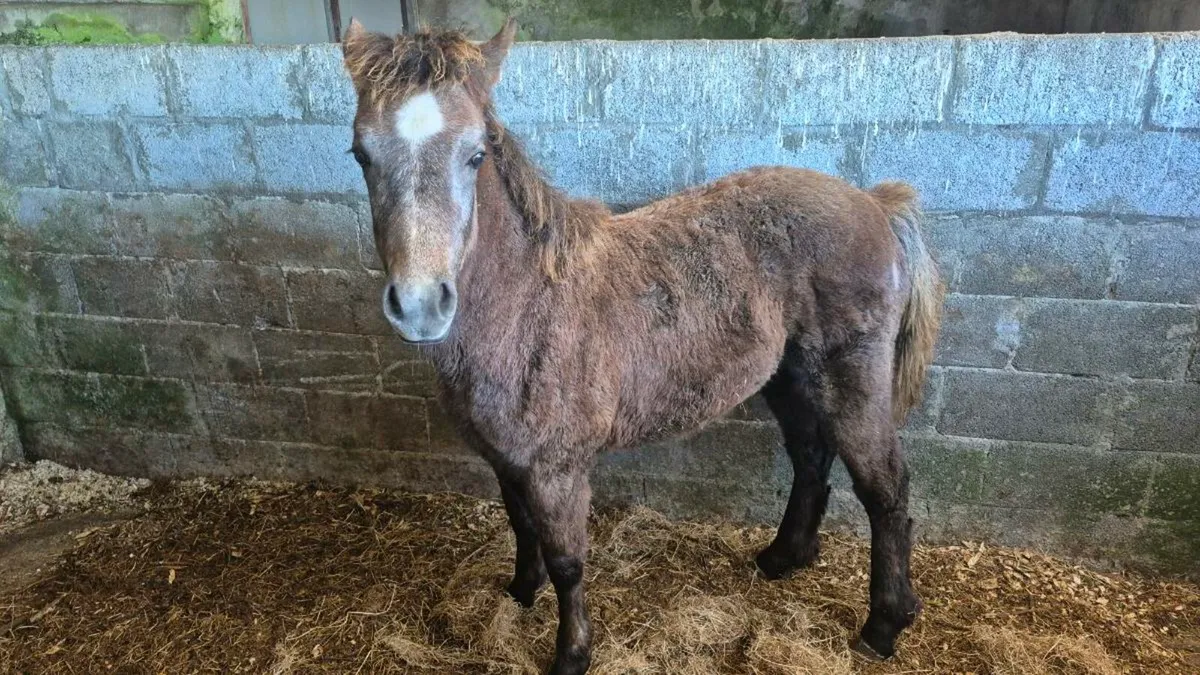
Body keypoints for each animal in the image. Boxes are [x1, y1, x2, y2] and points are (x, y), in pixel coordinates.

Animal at [340, 17, 943, 675]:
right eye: (361, 155)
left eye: (475, 154)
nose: (421, 304)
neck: (527, 302)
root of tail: (875, 204)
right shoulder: (505, 458)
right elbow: (521, 526)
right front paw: (520, 593)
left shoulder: (556, 466)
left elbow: (568, 562)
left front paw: (571, 654)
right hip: (790, 375)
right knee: (811, 458)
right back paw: (781, 559)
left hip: (851, 376)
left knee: (885, 488)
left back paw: (884, 625)